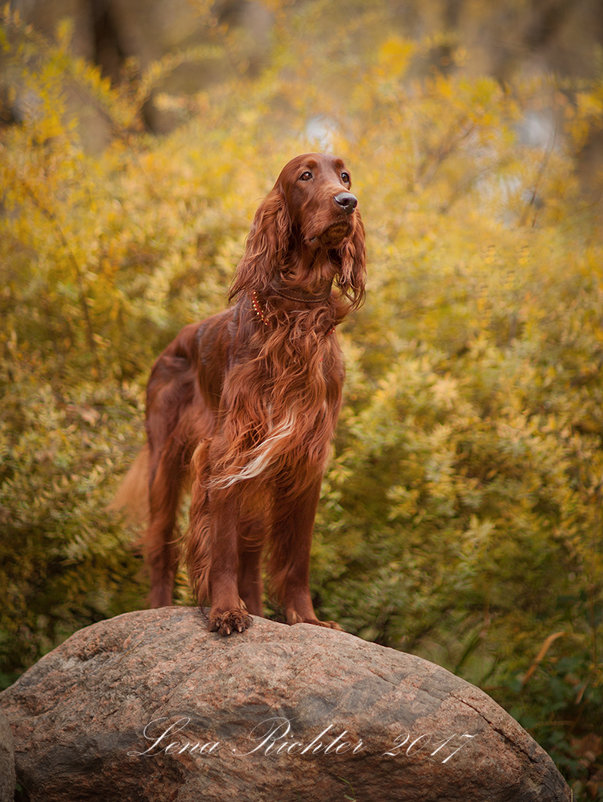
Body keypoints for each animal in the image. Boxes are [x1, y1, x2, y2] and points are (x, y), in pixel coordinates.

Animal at [116, 153, 366, 636]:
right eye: (305, 176)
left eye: (344, 176)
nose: (348, 201)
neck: (296, 314)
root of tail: (174, 343)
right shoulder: (228, 449)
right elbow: (223, 546)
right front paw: (226, 610)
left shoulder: (305, 454)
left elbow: (297, 555)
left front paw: (306, 617)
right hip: (164, 463)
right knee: (161, 545)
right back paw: (160, 607)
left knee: (251, 549)